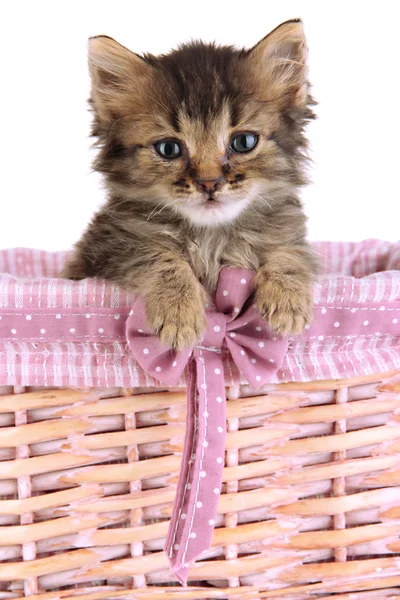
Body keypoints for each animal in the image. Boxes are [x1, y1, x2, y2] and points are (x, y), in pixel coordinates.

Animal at [62, 19, 318, 352]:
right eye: (169, 149)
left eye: (243, 142)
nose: (209, 183)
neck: (211, 237)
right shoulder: (109, 245)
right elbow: (158, 258)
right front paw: (178, 313)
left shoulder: (289, 232)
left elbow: (290, 254)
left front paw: (288, 301)